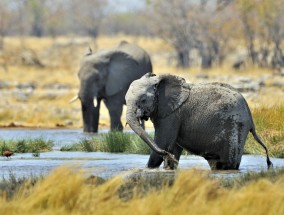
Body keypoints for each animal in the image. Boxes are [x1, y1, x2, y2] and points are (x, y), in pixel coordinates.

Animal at [125, 73, 272, 170]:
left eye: (143, 100)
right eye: (125, 100)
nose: (168, 156)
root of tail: (250, 116)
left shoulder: (172, 115)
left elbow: (163, 143)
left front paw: (148, 169)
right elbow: (173, 147)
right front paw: (170, 164)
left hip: (236, 127)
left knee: (227, 163)